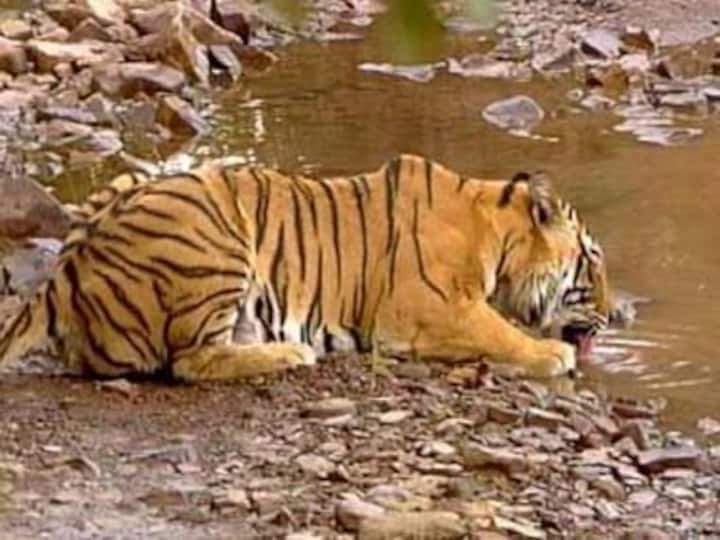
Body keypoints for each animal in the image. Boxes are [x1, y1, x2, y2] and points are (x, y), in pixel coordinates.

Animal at [0, 154, 610, 381]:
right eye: (593, 262)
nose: (615, 316)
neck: (494, 232)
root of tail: (62, 278)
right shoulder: (427, 309)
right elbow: (498, 330)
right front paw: (549, 354)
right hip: (214, 237)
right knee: (189, 361)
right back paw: (291, 353)